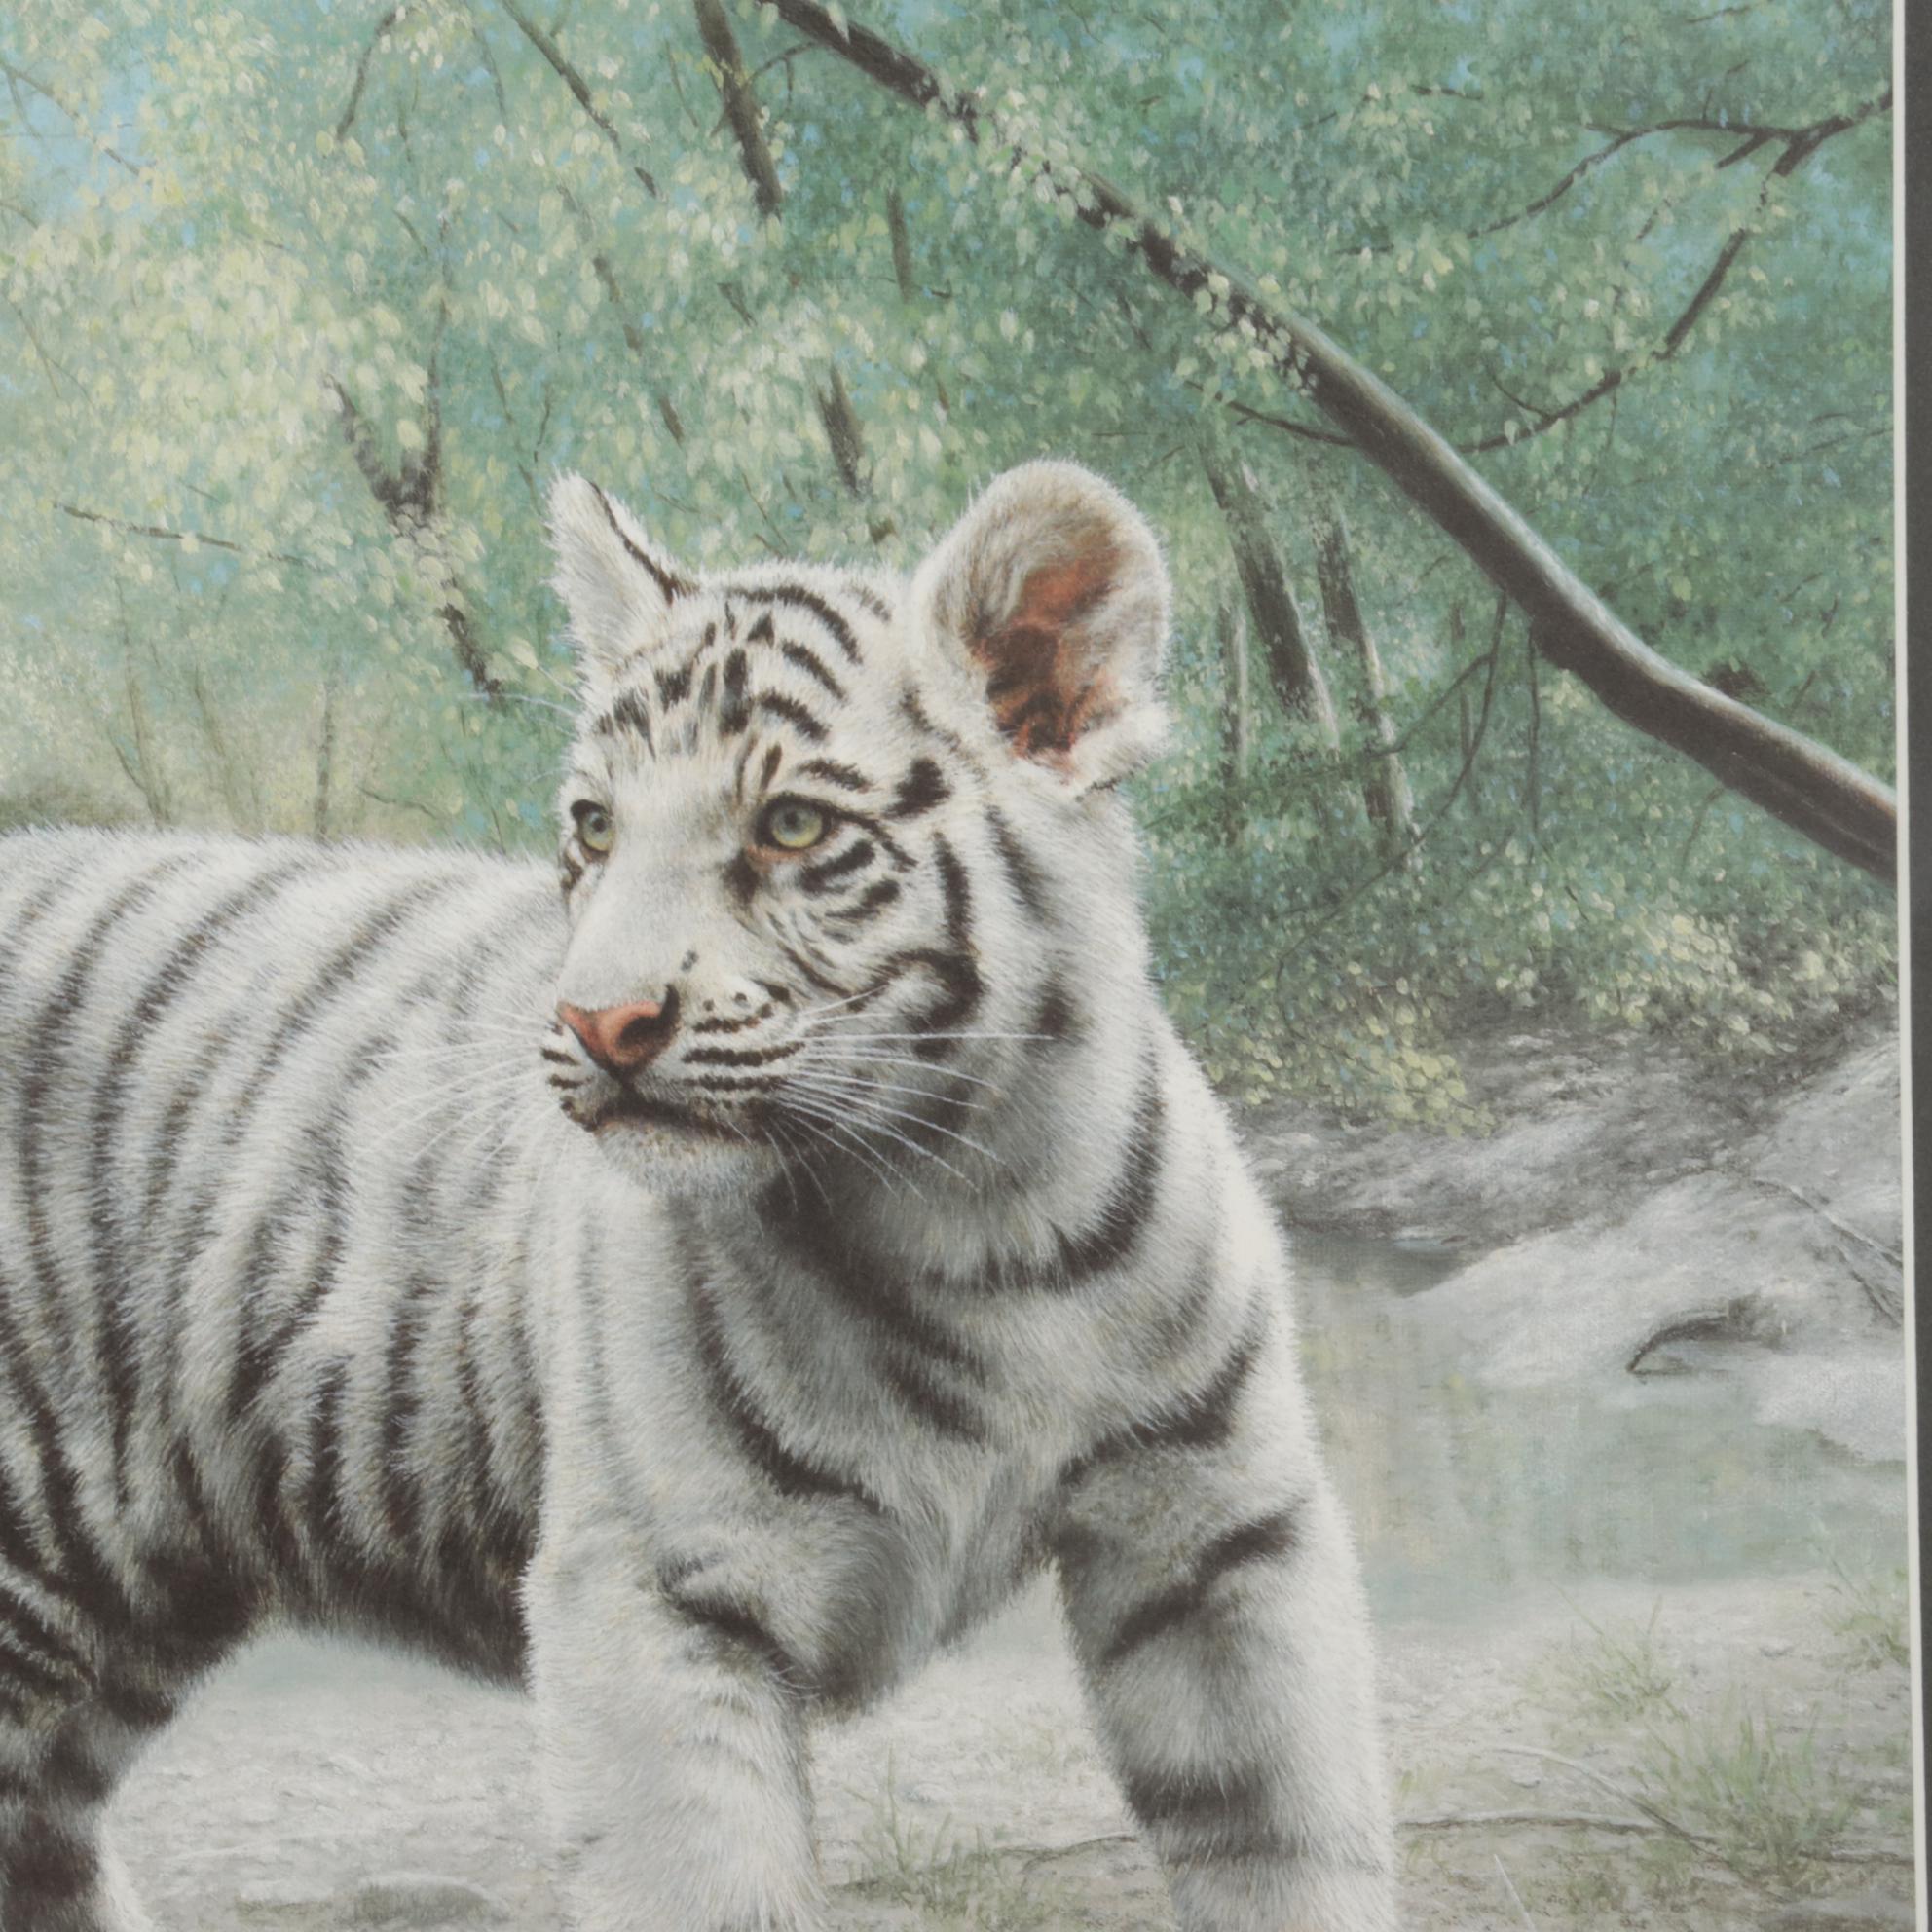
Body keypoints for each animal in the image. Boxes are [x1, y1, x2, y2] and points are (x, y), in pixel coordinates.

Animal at [0, 461, 1394, 1932]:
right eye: (595, 825)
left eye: (792, 826)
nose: (598, 1021)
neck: (978, 1216)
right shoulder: (654, 1589)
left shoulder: (1223, 1534)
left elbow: (1290, 1840)